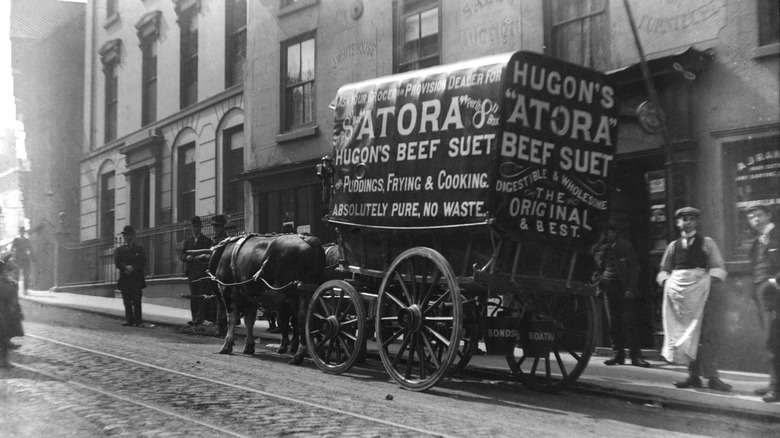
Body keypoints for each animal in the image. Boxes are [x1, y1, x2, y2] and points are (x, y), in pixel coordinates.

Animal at [204, 234, 326, 364]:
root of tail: (309, 240)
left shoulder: (228, 291)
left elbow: (231, 318)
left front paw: (227, 345)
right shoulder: (250, 297)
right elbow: (249, 320)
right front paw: (249, 345)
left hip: (295, 295)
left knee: (301, 320)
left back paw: (299, 354)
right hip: (308, 292)